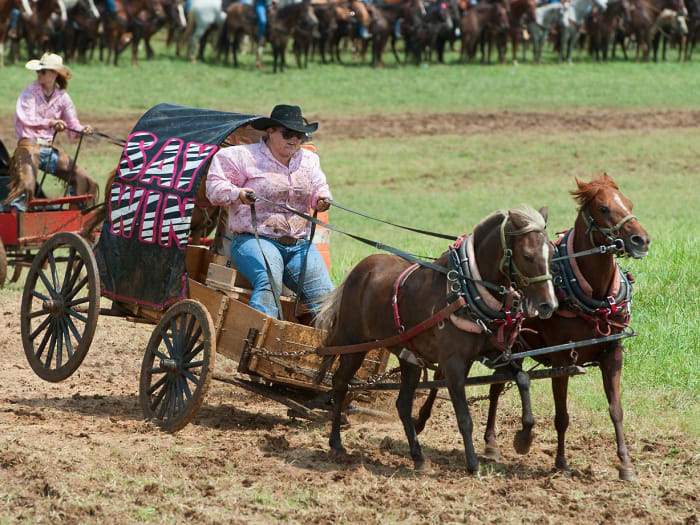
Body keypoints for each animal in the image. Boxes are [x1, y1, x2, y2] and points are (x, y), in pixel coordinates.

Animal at [316, 207, 556, 472]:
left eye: (552, 252)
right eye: (527, 255)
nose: (549, 305)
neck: (466, 291)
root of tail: (359, 271)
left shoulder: (494, 353)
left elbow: (523, 379)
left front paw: (524, 439)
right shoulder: (453, 363)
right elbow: (464, 417)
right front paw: (472, 463)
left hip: (408, 356)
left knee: (402, 403)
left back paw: (418, 456)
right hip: (354, 344)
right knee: (339, 384)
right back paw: (336, 443)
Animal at [416, 175, 652, 478]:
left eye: (629, 203)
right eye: (603, 208)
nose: (641, 240)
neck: (593, 295)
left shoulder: (613, 355)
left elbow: (616, 410)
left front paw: (625, 464)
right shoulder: (562, 360)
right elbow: (562, 416)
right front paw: (561, 463)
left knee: (495, 387)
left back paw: (491, 443)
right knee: (441, 378)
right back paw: (421, 421)